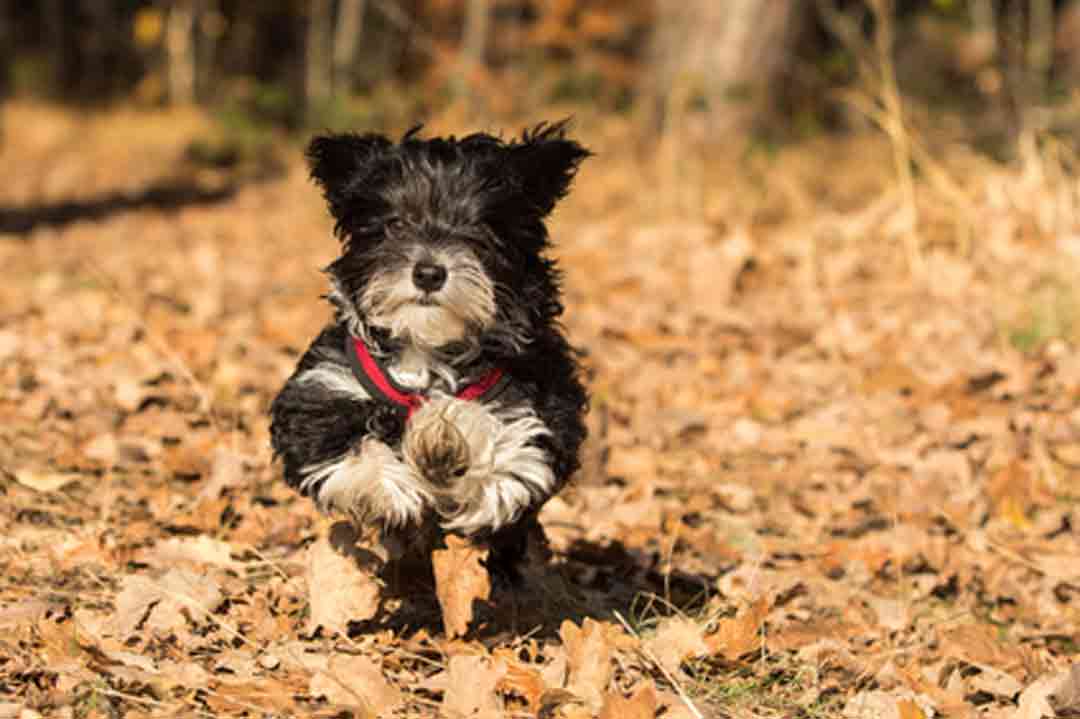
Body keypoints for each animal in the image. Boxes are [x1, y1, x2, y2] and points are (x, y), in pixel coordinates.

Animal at [270, 120, 591, 574]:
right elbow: (342, 448)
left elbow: (512, 452)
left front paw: (448, 436)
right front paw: (389, 489)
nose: (428, 272)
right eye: (396, 225)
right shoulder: (319, 391)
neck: (426, 348)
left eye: (482, 231)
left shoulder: (549, 403)